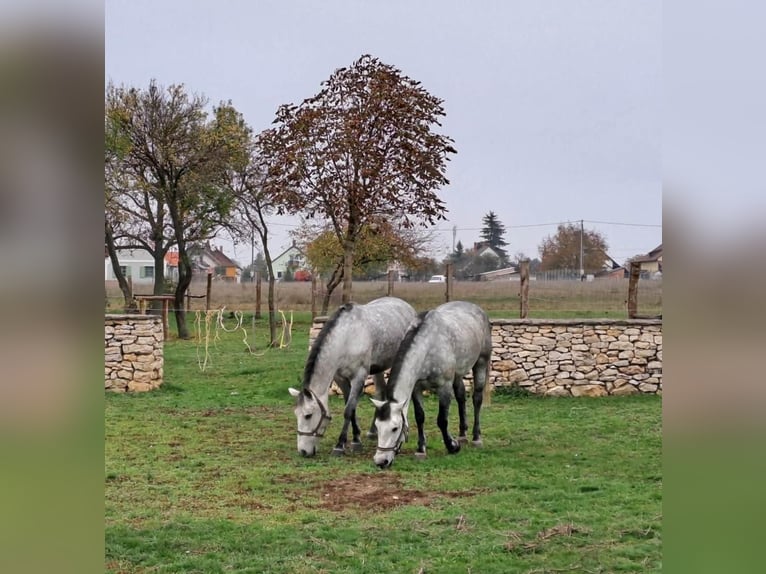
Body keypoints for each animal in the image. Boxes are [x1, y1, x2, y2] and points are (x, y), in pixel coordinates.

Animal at [289, 296, 417, 457]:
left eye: (308, 415)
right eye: (296, 414)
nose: (303, 451)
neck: (347, 337)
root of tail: (406, 306)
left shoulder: (359, 377)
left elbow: (348, 410)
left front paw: (340, 445)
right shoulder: (341, 378)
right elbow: (351, 408)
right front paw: (356, 439)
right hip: (378, 368)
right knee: (380, 392)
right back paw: (372, 432)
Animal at [371, 300, 492, 469]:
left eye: (395, 428)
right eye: (377, 426)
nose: (381, 461)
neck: (427, 346)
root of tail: (477, 309)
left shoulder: (444, 387)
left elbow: (442, 420)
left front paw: (452, 446)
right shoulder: (416, 388)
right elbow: (420, 417)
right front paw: (421, 449)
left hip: (481, 362)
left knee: (477, 399)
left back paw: (476, 438)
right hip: (458, 374)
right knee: (461, 397)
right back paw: (462, 435)